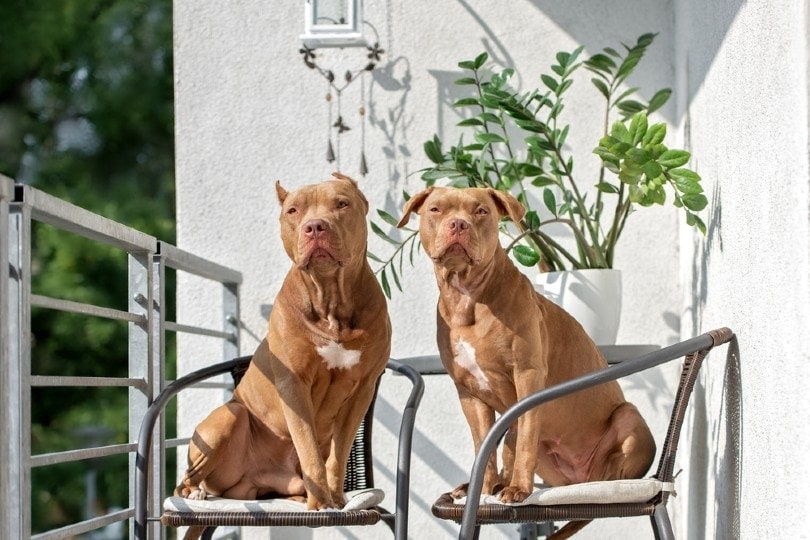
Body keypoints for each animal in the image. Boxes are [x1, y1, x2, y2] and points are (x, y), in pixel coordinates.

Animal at [175, 173, 390, 540]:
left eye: (341, 204)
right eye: (293, 210)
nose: (315, 226)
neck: (331, 300)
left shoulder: (362, 388)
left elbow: (337, 453)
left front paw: (335, 499)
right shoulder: (294, 385)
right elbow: (308, 448)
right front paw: (322, 505)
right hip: (229, 417)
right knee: (185, 482)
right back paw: (196, 493)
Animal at [398, 185, 656, 536]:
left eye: (481, 211)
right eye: (436, 209)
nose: (459, 225)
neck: (467, 295)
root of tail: (579, 479)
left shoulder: (528, 376)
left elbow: (524, 439)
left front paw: (518, 488)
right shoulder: (469, 393)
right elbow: (484, 446)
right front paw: (484, 488)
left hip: (628, 417)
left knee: (611, 474)